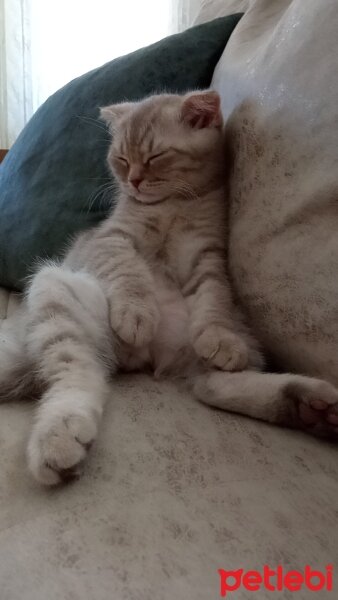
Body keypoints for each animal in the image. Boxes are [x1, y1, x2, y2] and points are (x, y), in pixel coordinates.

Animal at [0, 89, 338, 486]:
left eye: (154, 157)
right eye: (122, 158)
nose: (133, 181)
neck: (173, 206)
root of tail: (151, 357)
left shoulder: (209, 256)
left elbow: (214, 300)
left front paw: (218, 336)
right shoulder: (112, 239)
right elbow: (129, 272)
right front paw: (136, 313)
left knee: (211, 383)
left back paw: (308, 406)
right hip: (56, 289)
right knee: (78, 374)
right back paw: (61, 435)